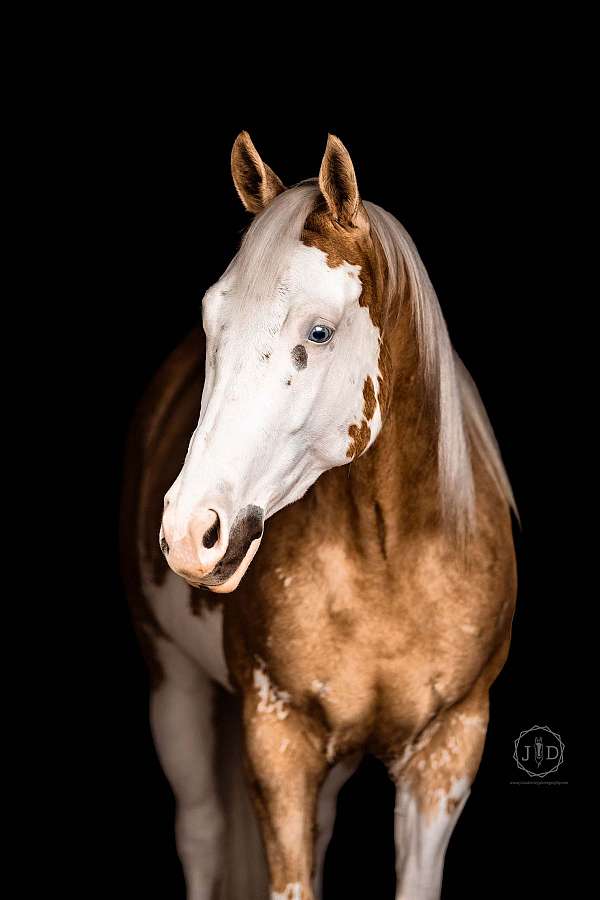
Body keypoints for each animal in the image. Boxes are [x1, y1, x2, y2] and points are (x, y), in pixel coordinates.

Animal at [121, 131, 517, 900]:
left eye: (321, 331)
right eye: (212, 320)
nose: (189, 531)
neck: (389, 558)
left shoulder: (448, 750)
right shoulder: (279, 744)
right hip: (173, 683)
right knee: (201, 833)